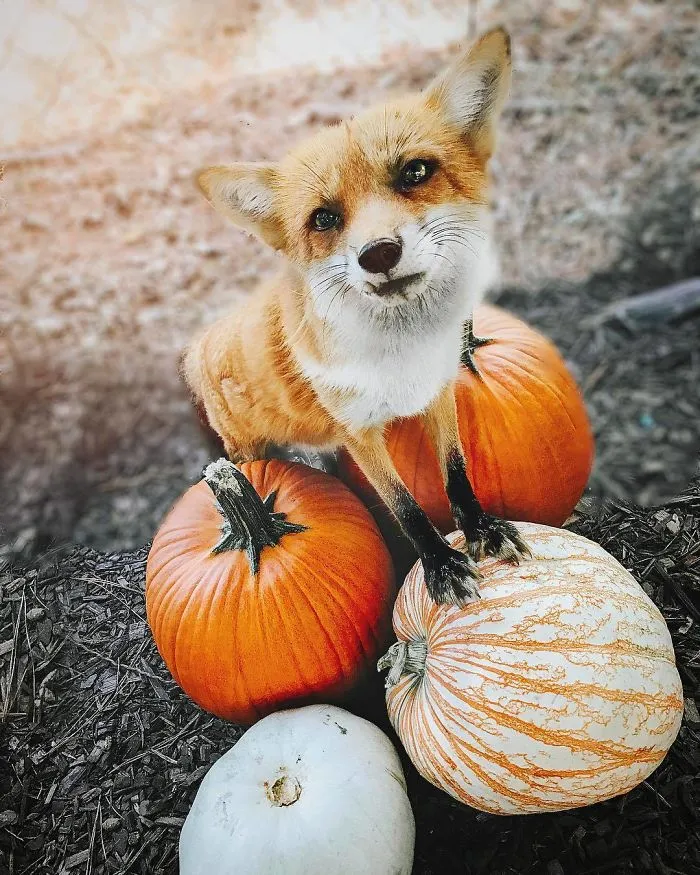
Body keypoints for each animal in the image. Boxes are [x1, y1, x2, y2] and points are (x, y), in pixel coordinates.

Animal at [182, 26, 530, 605]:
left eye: (415, 172)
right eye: (324, 218)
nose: (379, 253)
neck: (404, 355)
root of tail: (196, 347)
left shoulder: (438, 393)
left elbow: (455, 473)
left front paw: (481, 528)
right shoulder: (358, 434)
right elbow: (405, 507)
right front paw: (441, 564)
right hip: (244, 450)